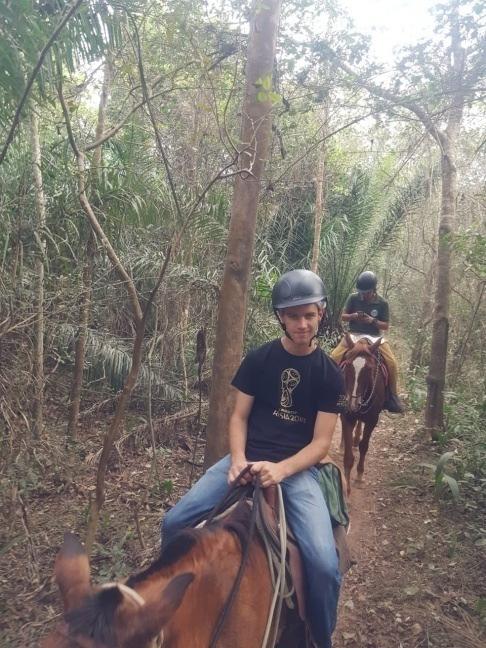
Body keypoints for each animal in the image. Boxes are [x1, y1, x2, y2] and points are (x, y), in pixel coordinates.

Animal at [340, 332, 386, 494]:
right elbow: (348, 456)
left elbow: (364, 446)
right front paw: (346, 487)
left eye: (368, 369)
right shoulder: (347, 416)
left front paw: (359, 476)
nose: (352, 404)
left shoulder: (373, 420)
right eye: (347, 365)